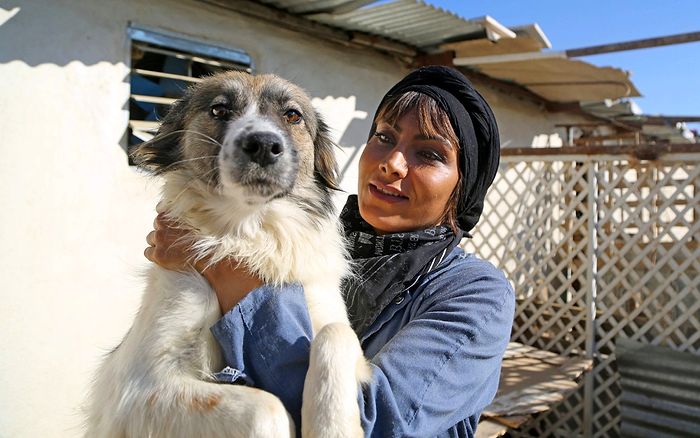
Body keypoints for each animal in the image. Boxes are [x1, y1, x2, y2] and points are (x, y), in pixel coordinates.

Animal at [83, 72, 372, 438]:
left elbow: (336, 335)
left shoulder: (326, 313)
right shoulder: (139, 385)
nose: (263, 145)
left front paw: (333, 426)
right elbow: (266, 408)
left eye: (293, 115)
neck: (248, 234)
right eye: (219, 110)